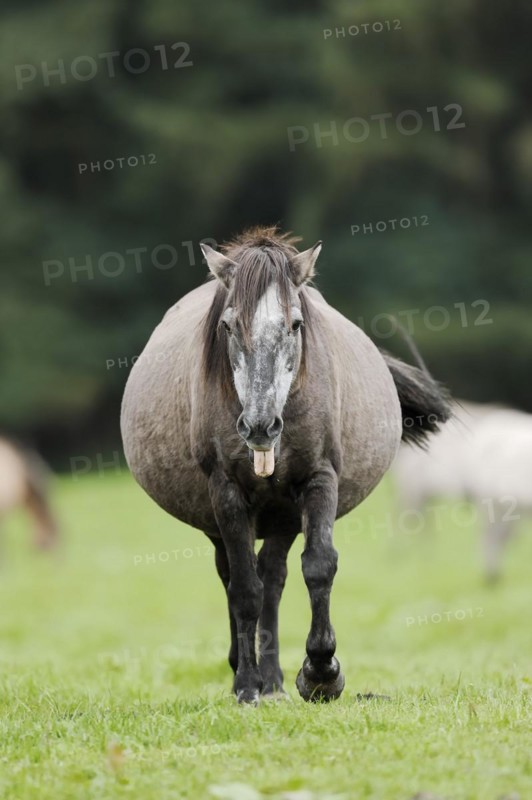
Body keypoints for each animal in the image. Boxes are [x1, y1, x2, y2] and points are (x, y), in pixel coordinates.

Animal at [121, 226, 450, 703]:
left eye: (295, 324)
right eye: (227, 326)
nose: (259, 426)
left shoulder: (318, 480)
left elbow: (318, 566)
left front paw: (321, 673)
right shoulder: (226, 492)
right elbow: (243, 589)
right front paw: (246, 686)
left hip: (283, 517)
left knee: (273, 579)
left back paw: (274, 680)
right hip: (220, 520)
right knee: (235, 577)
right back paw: (250, 674)